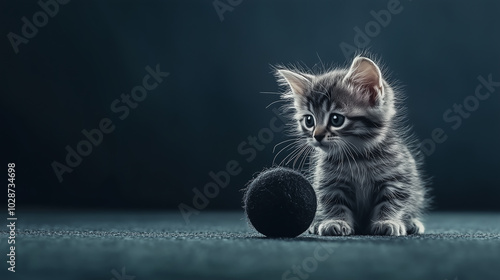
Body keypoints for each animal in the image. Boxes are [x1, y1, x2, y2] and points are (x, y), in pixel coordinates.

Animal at [276, 56, 428, 236]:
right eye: (309, 120)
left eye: (336, 119)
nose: (317, 136)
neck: (357, 157)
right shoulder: (331, 182)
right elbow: (334, 203)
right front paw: (335, 221)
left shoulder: (396, 179)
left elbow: (392, 202)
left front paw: (387, 221)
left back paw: (412, 223)